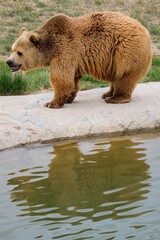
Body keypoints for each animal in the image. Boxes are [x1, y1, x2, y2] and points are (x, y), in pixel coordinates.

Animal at [6, 11, 152, 108]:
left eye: (19, 53)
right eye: (12, 49)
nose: (9, 62)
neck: (50, 48)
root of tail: (145, 30)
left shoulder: (64, 50)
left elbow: (61, 78)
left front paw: (51, 103)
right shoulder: (72, 58)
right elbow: (72, 79)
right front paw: (68, 98)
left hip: (126, 52)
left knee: (125, 77)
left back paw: (116, 98)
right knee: (117, 77)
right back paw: (107, 94)